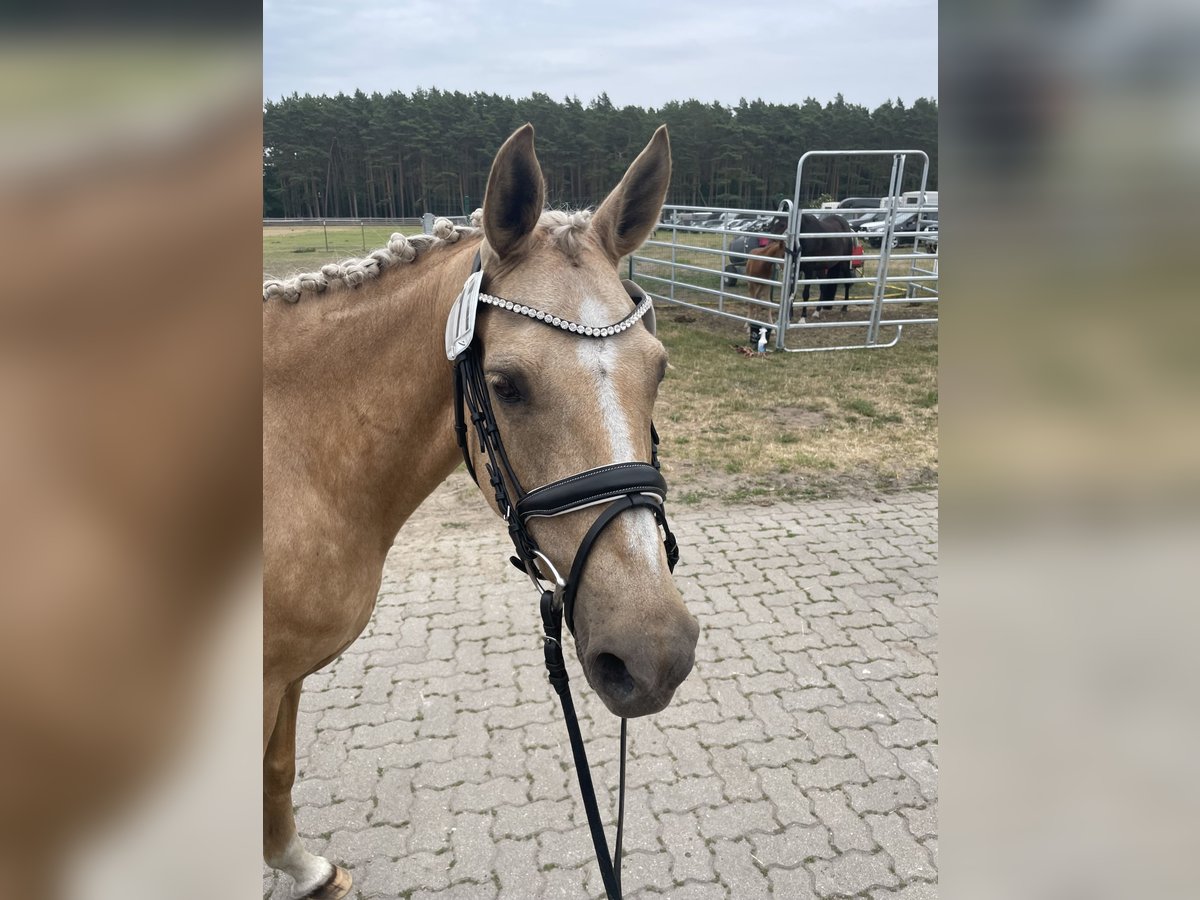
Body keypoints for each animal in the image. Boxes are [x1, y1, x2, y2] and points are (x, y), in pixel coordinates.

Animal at [258, 123, 700, 897]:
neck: (295, 453)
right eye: (506, 384)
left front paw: (303, 866)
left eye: (660, 368)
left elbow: (276, 775)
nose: (654, 655)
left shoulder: (285, 674)